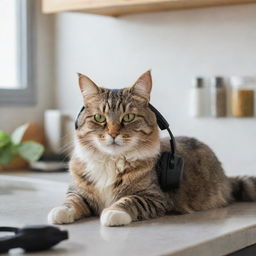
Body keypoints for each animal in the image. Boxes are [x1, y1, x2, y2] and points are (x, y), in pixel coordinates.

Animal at [48, 71, 256, 227]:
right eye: (99, 118)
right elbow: (72, 201)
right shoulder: (78, 190)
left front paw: (113, 212)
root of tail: (226, 178)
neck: (111, 161)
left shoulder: (155, 197)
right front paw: (61, 211)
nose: (113, 134)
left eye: (128, 117)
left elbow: (130, 201)